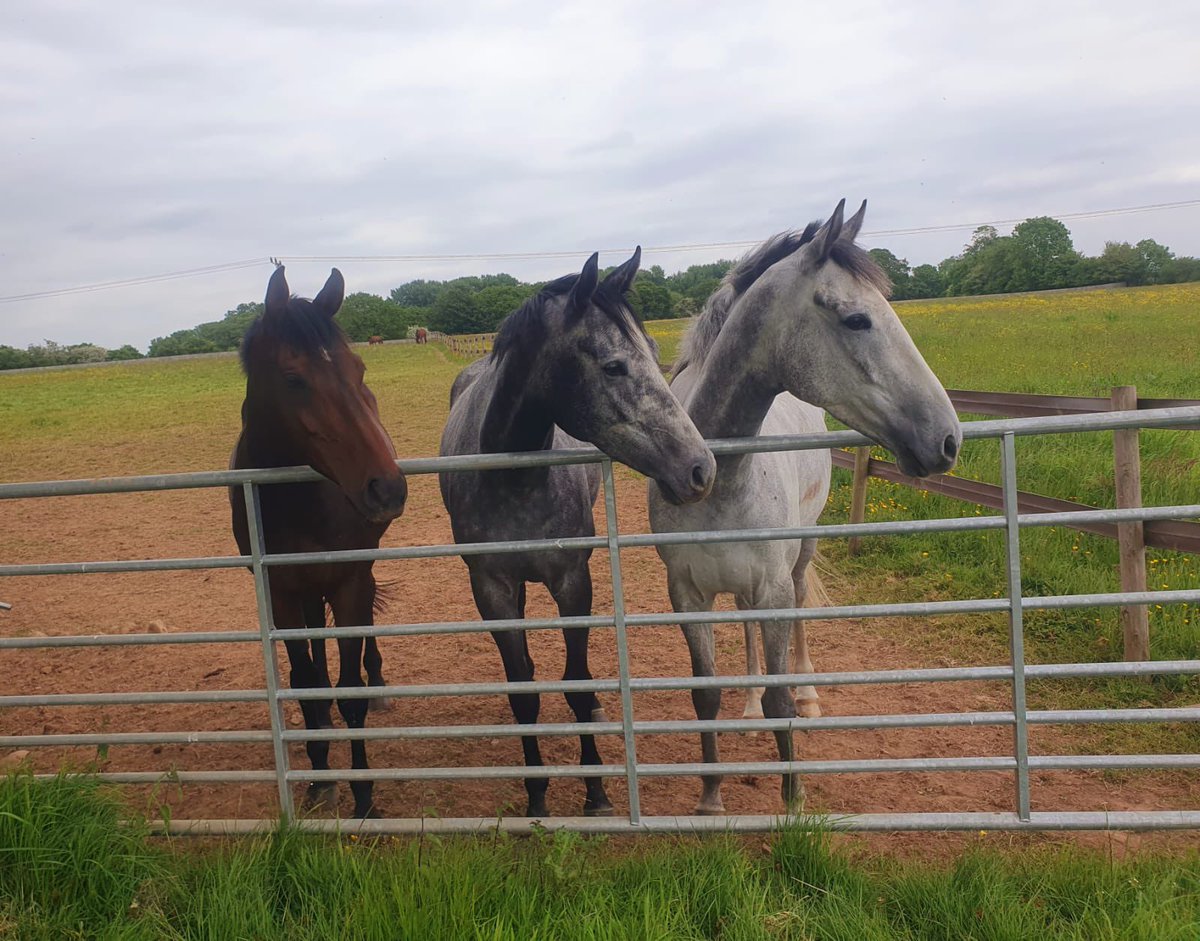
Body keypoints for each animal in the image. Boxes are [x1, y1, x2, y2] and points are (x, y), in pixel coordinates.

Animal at [229, 262, 408, 816]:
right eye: (294, 378)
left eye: (359, 369)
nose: (387, 488)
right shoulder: (281, 594)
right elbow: (306, 683)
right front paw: (320, 777)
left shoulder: (349, 581)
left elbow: (348, 690)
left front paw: (365, 794)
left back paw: (379, 682)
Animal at [444, 249, 715, 816]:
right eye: (613, 365)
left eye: (653, 352)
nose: (701, 469)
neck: (515, 479)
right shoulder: (490, 588)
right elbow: (523, 689)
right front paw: (536, 796)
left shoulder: (573, 581)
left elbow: (578, 685)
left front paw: (596, 792)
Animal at [652, 200, 960, 816]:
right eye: (857, 320)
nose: (947, 438)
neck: (719, 478)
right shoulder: (687, 593)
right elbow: (705, 696)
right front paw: (711, 798)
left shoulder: (771, 588)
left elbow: (781, 700)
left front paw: (793, 801)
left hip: (799, 559)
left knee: (798, 613)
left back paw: (812, 696)